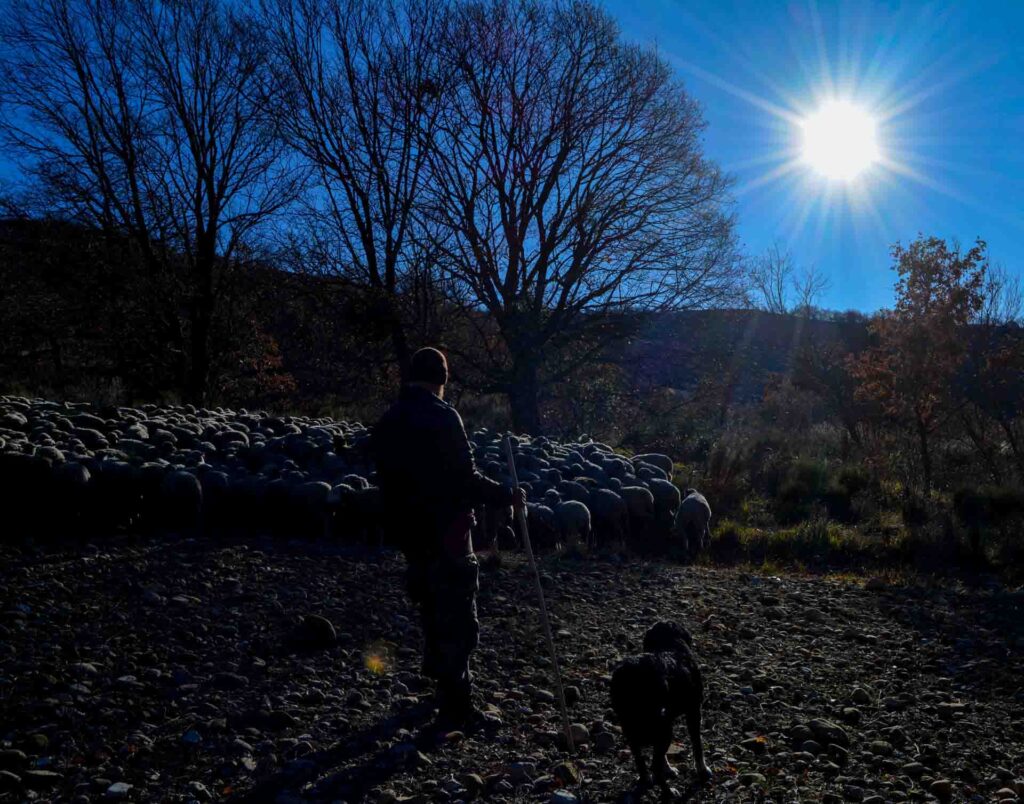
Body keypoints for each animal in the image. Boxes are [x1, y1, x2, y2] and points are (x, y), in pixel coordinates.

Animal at [610, 621, 713, 793]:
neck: (671, 645)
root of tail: (626, 675)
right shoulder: (693, 711)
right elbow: (697, 744)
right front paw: (703, 771)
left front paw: (668, 769)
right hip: (663, 728)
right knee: (654, 768)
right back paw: (669, 792)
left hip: (634, 728)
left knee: (640, 761)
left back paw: (646, 780)